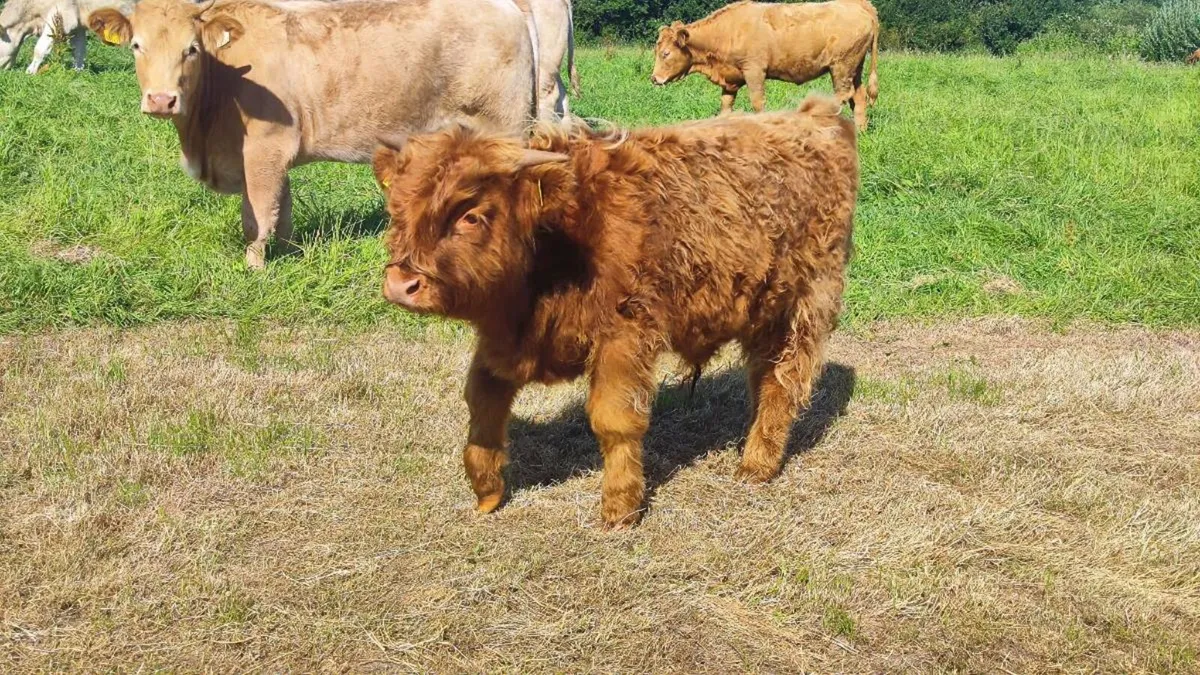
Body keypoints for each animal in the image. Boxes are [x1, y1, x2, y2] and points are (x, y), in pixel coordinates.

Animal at [86, 0, 538, 269]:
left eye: (191, 48)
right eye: (136, 45)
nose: (162, 100)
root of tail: (509, 8)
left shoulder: (264, 149)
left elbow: (258, 213)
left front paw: (254, 268)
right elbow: (281, 211)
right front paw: (289, 255)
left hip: (505, 128)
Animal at [373, 95, 858, 528]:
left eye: (471, 216)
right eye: (397, 210)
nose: (402, 284)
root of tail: (816, 115)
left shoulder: (624, 335)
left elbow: (615, 421)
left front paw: (620, 510)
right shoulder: (505, 342)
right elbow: (482, 403)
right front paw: (487, 490)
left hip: (802, 307)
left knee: (783, 382)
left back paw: (756, 465)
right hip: (763, 312)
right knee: (762, 376)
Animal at [651, 0, 880, 131]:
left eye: (665, 53)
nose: (653, 78)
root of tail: (861, 5)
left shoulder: (754, 71)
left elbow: (757, 104)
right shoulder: (731, 80)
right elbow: (725, 107)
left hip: (840, 67)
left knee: (842, 96)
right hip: (854, 68)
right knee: (858, 98)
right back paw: (860, 132)